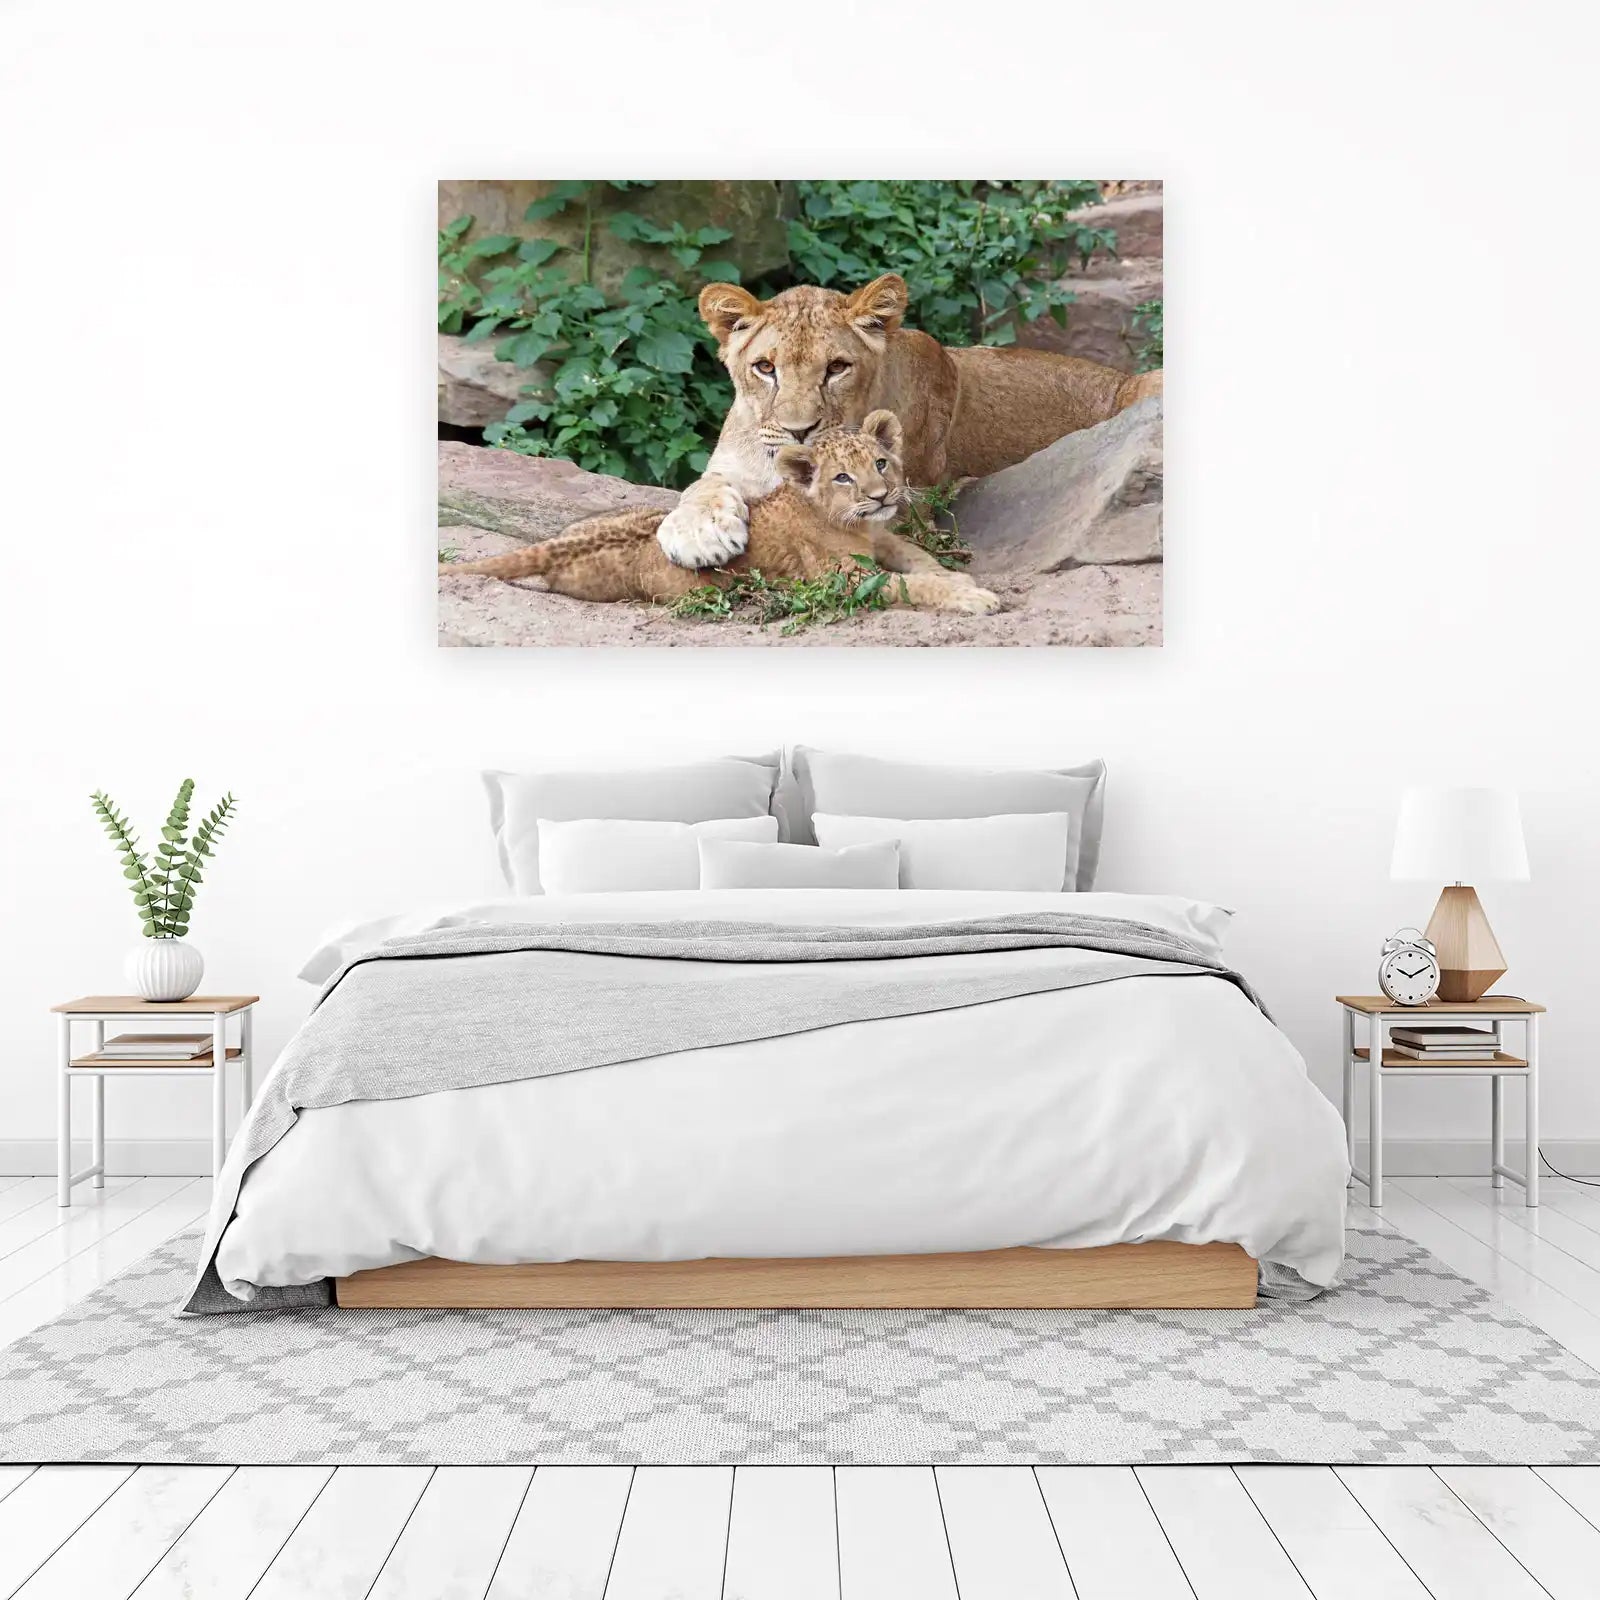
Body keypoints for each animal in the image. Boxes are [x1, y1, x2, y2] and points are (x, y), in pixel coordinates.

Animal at [440, 410, 1001, 616]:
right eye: (842, 477)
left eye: (881, 462)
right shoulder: (843, 581)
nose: (883, 495)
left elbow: (921, 561)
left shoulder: (885, 538)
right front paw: (971, 596)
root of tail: (561, 544)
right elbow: (911, 585)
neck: (856, 524)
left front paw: (959, 578)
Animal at [655, 272, 1162, 569]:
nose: (799, 430)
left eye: (836, 367)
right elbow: (699, 488)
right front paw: (699, 533)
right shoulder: (730, 467)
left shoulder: (905, 503)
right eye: (765, 367)